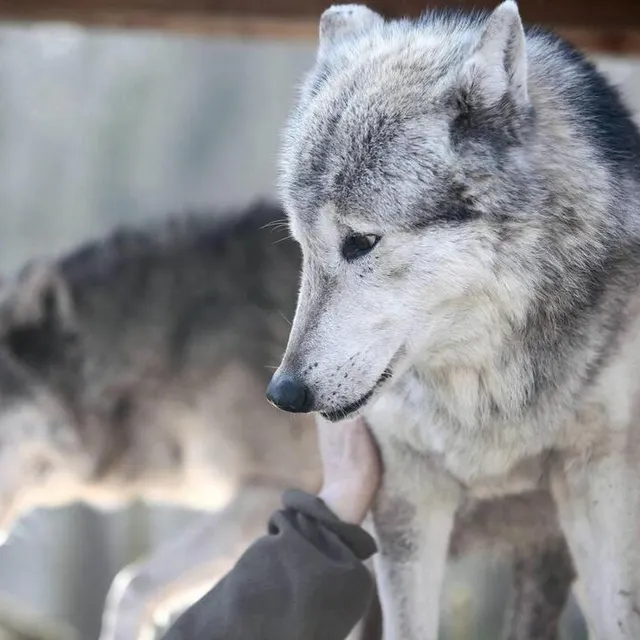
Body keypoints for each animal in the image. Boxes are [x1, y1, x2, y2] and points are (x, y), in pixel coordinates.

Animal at [267, 2, 640, 639]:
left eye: (360, 241)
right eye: (301, 245)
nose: (284, 392)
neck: (487, 396)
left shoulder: (599, 474)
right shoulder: (406, 492)